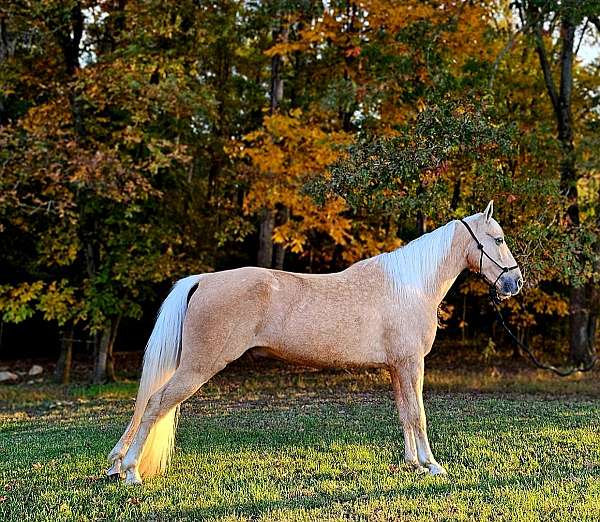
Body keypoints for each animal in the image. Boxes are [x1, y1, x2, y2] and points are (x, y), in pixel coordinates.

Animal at [106, 200, 520, 484]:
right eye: (498, 239)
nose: (515, 283)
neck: (410, 285)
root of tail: (203, 279)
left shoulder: (397, 367)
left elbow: (405, 413)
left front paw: (413, 463)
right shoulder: (410, 363)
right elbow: (418, 413)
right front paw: (432, 465)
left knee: (147, 402)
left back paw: (116, 466)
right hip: (197, 368)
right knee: (155, 403)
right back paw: (131, 472)